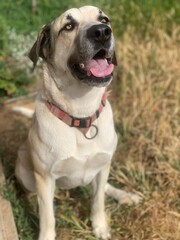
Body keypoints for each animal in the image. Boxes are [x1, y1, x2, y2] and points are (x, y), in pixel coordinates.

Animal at [15, 5, 141, 240]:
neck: (81, 116)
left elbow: (98, 200)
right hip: (26, 174)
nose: (102, 32)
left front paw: (99, 226)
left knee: (103, 186)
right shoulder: (44, 178)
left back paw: (124, 195)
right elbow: (47, 217)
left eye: (104, 19)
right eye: (68, 26)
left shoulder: (102, 166)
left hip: (103, 165)